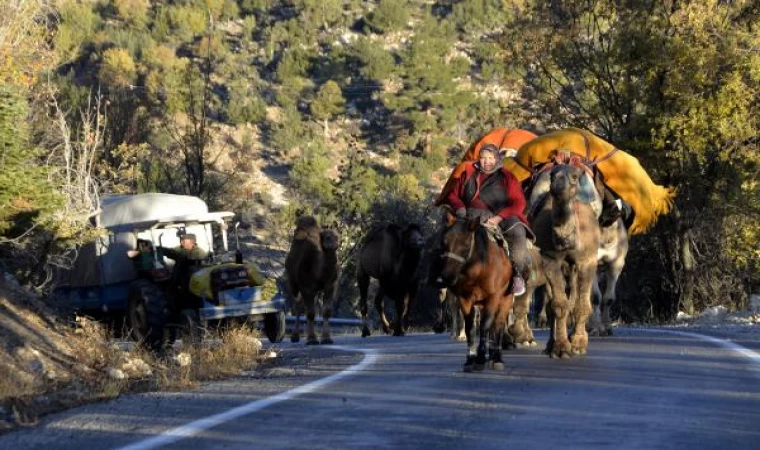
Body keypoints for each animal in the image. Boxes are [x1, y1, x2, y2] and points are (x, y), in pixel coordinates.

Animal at [284, 216, 340, 346]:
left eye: (337, 236)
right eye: (326, 237)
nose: (333, 244)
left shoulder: (330, 286)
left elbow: (326, 311)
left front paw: (326, 338)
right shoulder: (306, 287)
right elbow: (310, 313)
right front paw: (311, 339)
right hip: (293, 284)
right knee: (298, 306)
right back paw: (295, 336)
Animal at [436, 214, 512, 372]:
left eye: (465, 244)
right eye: (444, 242)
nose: (444, 278)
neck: (478, 270)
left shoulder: (492, 298)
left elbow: (485, 326)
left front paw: (481, 358)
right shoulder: (464, 299)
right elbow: (470, 327)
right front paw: (470, 359)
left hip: (505, 301)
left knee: (499, 325)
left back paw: (497, 358)